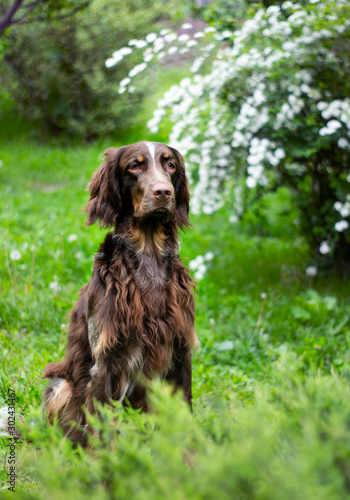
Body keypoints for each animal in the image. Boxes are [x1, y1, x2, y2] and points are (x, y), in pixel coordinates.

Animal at [41, 141, 197, 446]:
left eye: (170, 165)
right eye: (134, 166)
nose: (163, 192)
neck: (148, 255)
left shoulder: (181, 350)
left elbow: (185, 411)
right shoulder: (106, 361)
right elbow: (103, 426)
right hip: (62, 384)